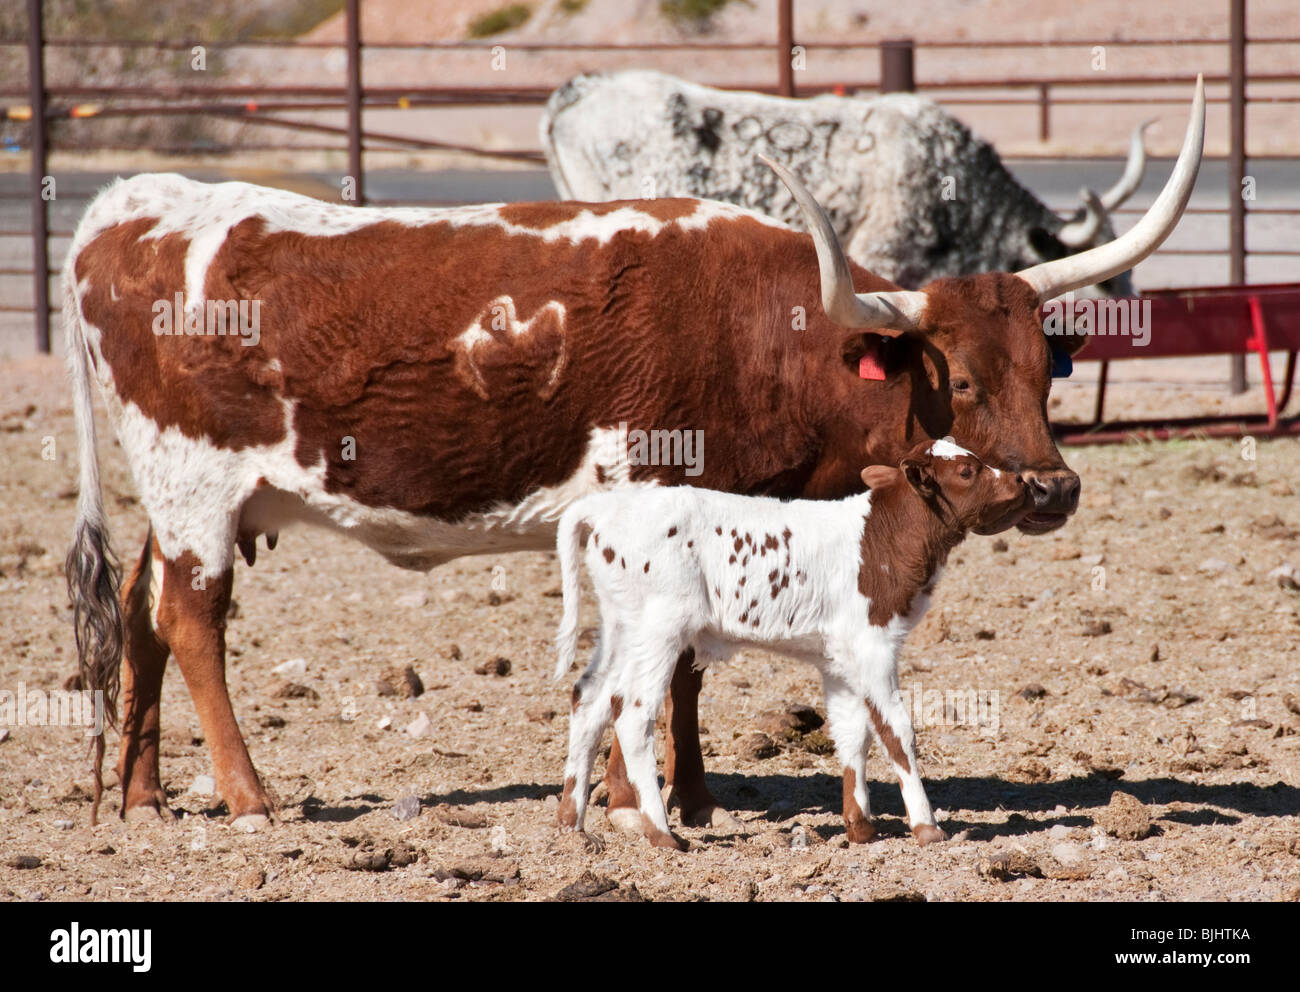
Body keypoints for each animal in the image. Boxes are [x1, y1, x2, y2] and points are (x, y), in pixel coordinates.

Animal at [65, 79, 1201, 837]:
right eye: (957, 379)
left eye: (1045, 371)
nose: (1052, 488)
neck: (759, 332)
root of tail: (120, 209)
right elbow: (647, 670)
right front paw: (627, 797)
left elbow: (691, 668)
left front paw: (691, 795)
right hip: (195, 487)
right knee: (192, 619)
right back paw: (248, 796)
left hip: (182, 497)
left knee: (139, 606)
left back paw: (143, 794)